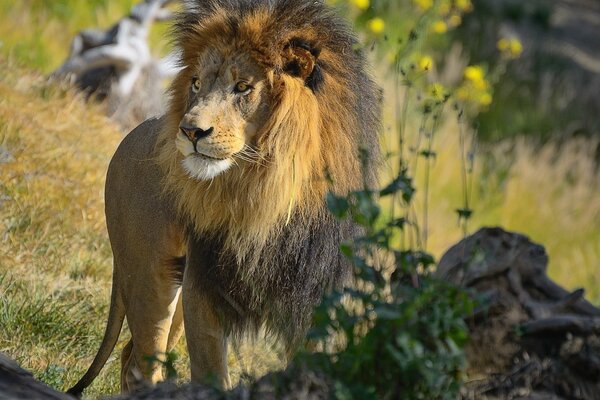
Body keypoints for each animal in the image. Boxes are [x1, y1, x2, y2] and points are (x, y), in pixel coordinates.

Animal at [68, 0, 380, 394]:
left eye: (243, 87)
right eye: (197, 84)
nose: (190, 131)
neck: (264, 196)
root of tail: (132, 133)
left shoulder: (312, 299)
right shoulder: (204, 285)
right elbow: (211, 373)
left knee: (128, 356)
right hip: (150, 274)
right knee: (143, 362)